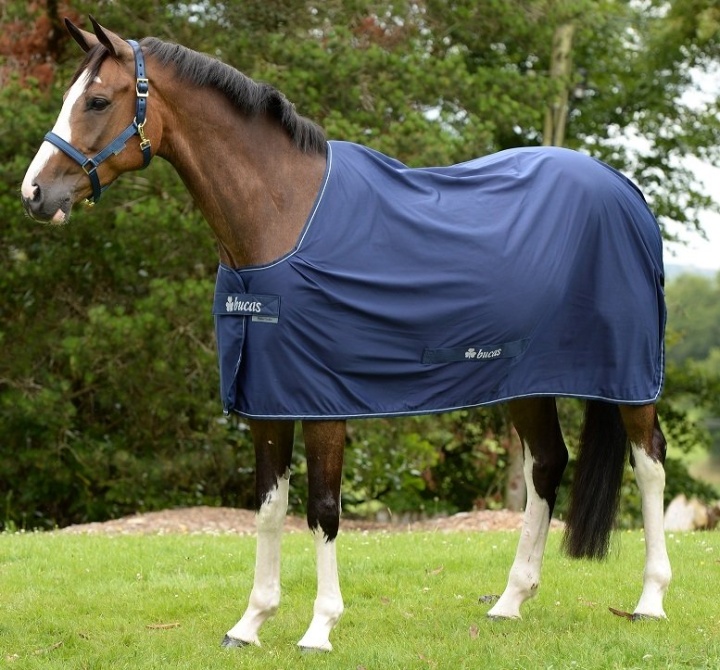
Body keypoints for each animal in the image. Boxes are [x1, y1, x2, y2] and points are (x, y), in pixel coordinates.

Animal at [21, 17, 671, 652]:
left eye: (97, 101)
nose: (33, 194)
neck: (282, 217)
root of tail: (625, 190)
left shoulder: (322, 401)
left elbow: (323, 510)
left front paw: (319, 628)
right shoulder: (267, 400)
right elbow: (269, 508)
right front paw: (250, 623)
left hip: (631, 377)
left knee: (649, 462)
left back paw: (650, 600)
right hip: (525, 379)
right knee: (546, 465)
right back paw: (511, 601)